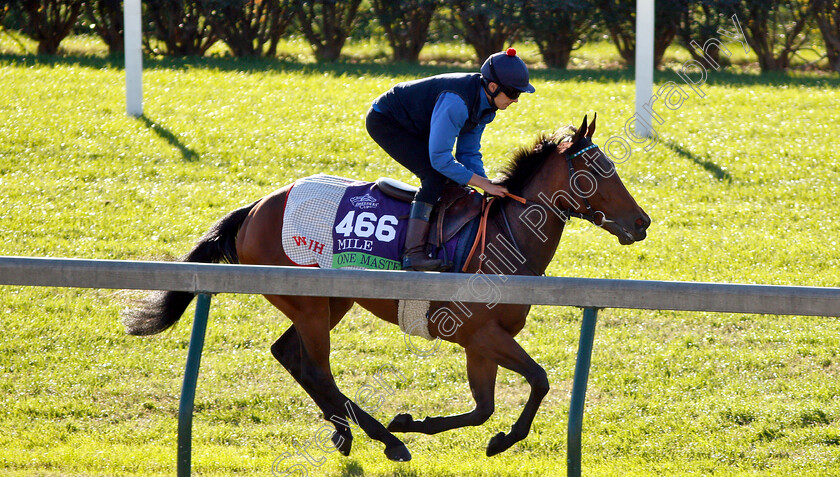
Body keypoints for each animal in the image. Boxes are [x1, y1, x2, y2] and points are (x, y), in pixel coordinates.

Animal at [123, 115, 648, 462]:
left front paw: (427, 425)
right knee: (316, 369)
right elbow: (536, 381)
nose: (641, 222)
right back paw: (384, 439)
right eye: (598, 171)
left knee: (289, 355)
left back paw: (351, 433)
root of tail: (255, 208)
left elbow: (483, 407)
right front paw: (486, 437)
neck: (504, 235)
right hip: (309, 302)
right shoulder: (479, 333)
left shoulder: (479, 342)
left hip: (330, 302)